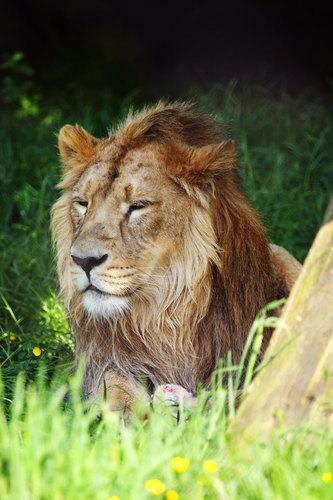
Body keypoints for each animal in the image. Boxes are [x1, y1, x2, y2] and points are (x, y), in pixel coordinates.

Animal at [51, 102, 300, 410]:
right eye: (83, 203)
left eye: (138, 205)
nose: (83, 260)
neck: (165, 317)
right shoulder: (103, 362)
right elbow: (117, 393)